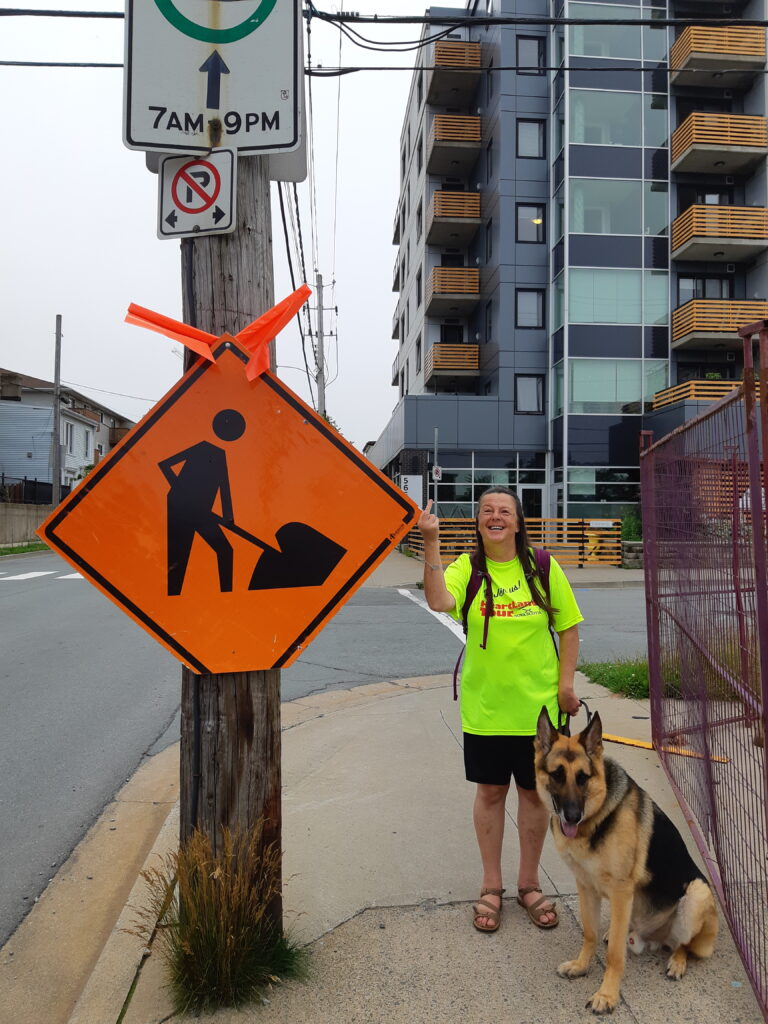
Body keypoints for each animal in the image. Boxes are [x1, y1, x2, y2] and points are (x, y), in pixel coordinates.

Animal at [536, 708, 720, 1011]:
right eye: (557, 775)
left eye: (583, 777)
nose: (572, 817)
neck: (596, 816)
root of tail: (655, 939)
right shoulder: (586, 887)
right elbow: (589, 933)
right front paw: (581, 966)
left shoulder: (621, 891)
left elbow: (614, 954)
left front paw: (607, 995)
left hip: (697, 893)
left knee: (683, 945)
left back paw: (677, 961)